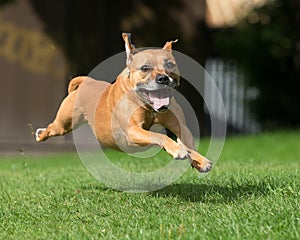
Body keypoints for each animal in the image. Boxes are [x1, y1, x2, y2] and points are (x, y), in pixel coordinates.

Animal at [36, 33, 212, 172]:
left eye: (170, 64)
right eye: (145, 68)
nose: (163, 78)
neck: (149, 107)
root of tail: (87, 82)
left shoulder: (180, 127)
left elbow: (187, 144)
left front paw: (201, 161)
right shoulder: (133, 130)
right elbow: (160, 136)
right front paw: (178, 150)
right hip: (64, 123)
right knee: (53, 128)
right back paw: (40, 135)